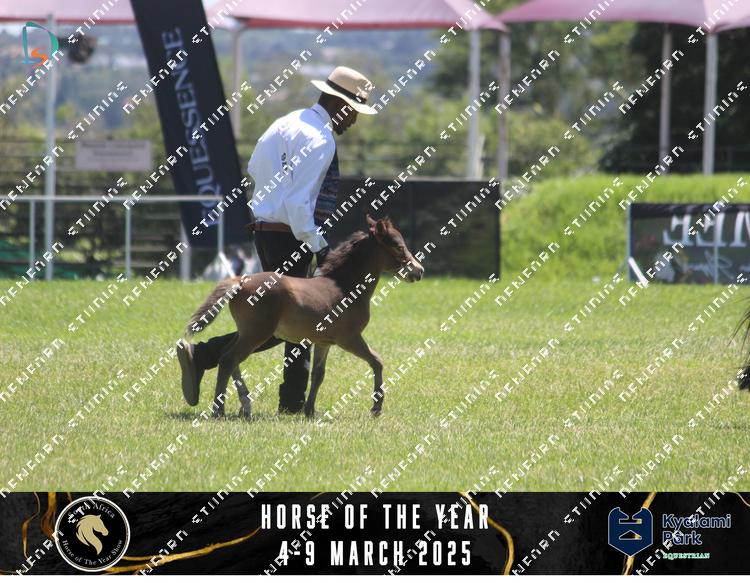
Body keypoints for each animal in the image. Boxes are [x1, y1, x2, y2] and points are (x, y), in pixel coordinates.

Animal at [183, 216, 425, 418]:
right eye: (398, 246)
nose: (419, 270)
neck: (345, 287)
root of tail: (241, 280)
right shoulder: (349, 339)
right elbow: (377, 361)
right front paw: (376, 407)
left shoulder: (323, 342)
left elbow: (318, 374)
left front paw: (309, 410)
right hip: (257, 333)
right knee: (228, 359)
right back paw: (219, 409)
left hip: (248, 332)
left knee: (228, 355)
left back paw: (244, 405)